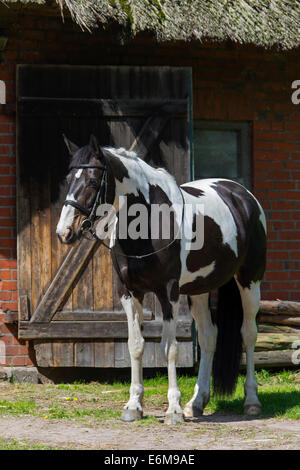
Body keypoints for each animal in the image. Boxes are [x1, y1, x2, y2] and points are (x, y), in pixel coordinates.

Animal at [56, 134, 268, 424]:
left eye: (91, 180)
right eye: (68, 180)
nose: (65, 232)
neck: (148, 221)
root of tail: (242, 195)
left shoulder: (168, 293)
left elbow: (170, 348)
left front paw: (174, 410)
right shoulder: (129, 292)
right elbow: (135, 345)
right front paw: (134, 406)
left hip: (249, 281)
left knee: (248, 334)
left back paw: (252, 402)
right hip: (199, 290)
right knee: (208, 336)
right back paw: (196, 403)